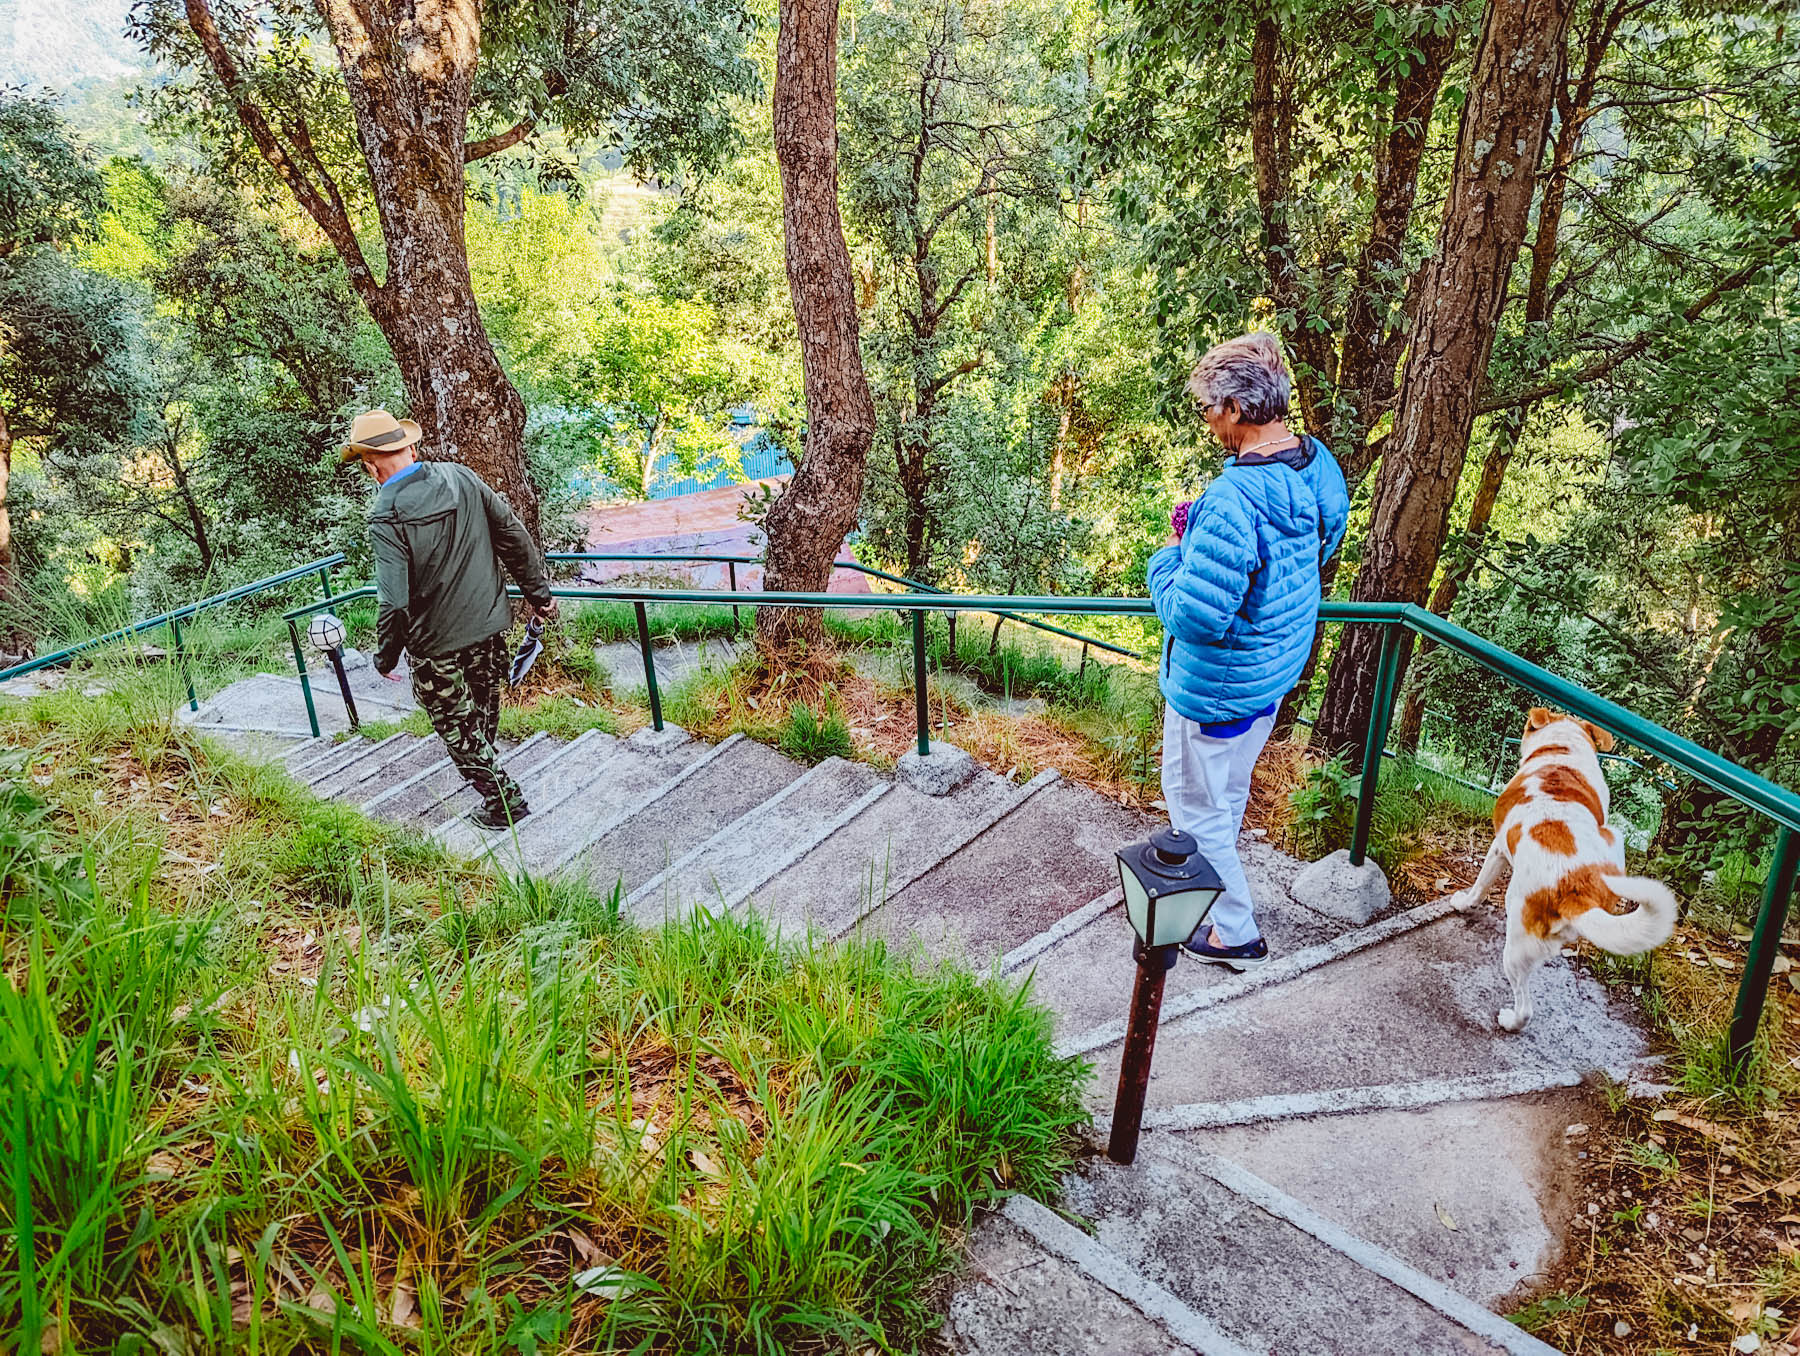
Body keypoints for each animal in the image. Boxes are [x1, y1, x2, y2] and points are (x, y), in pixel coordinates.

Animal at [1461, 709, 1670, 1022]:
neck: (1562, 748)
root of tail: (1575, 889)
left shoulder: (1497, 849)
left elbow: (1480, 886)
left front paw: (1462, 903)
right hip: (1614, 837)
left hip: (1516, 946)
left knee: (1525, 1008)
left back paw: (1509, 1020)